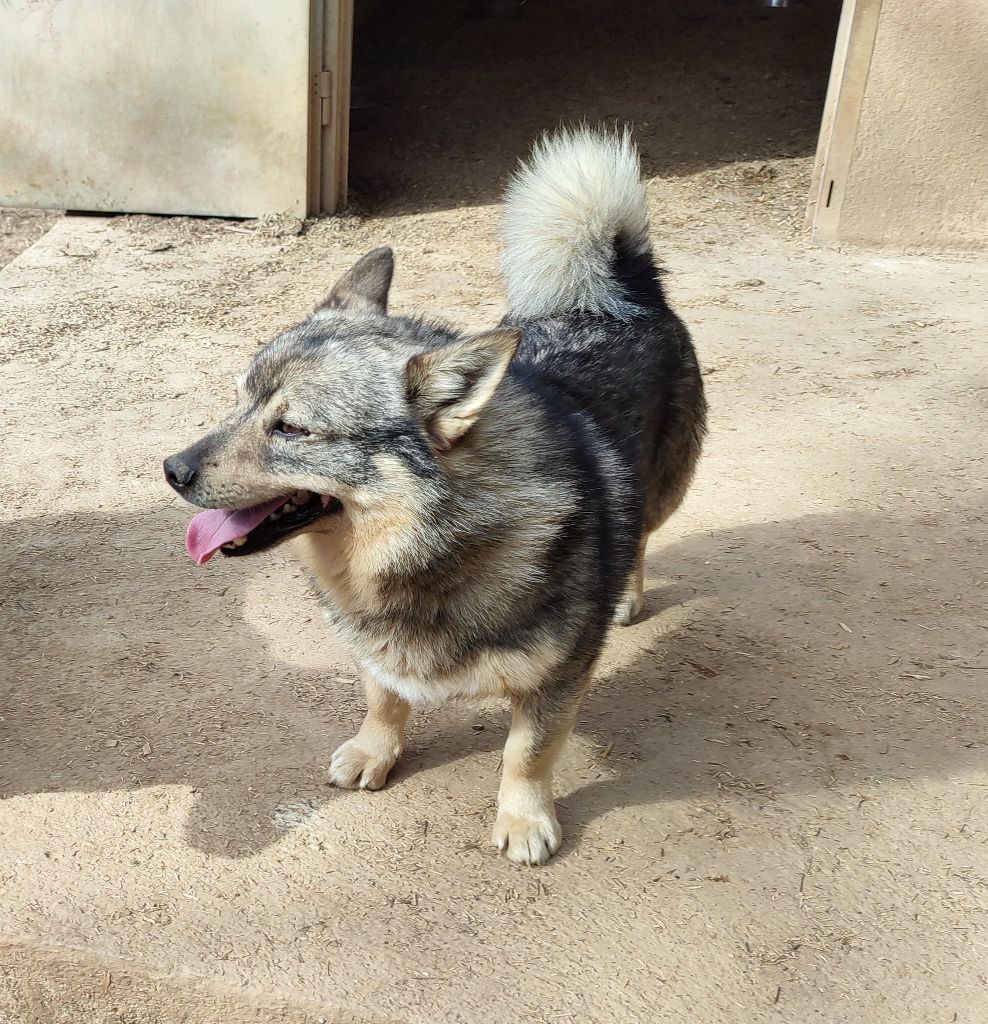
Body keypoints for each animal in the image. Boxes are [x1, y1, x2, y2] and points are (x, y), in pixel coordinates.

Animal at [163, 125, 700, 864]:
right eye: (241, 399)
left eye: (293, 428)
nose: (172, 469)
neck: (433, 540)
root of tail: (623, 286)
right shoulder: (376, 650)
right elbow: (385, 700)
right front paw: (375, 751)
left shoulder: (557, 678)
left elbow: (527, 755)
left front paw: (524, 819)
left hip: (666, 487)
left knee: (643, 531)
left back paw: (627, 591)